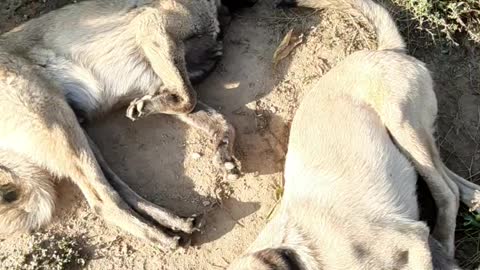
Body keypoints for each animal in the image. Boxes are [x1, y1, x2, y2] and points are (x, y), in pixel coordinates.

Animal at [0, 0, 256, 249]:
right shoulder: (154, 28)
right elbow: (187, 98)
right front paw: (147, 108)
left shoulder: (162, 82)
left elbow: (219, 120)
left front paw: (224, 154)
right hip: (59, 125)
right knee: (103, 201)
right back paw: (162, 237)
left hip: (76, 133)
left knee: (116, 188)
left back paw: (173, 221)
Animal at [228, 0, 480, 268]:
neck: (304, 248)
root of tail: (386, 50)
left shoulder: (413, 240)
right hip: (415, 140)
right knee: (458, 183)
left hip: (401, 123)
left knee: (448, 191)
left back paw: (445, 240)